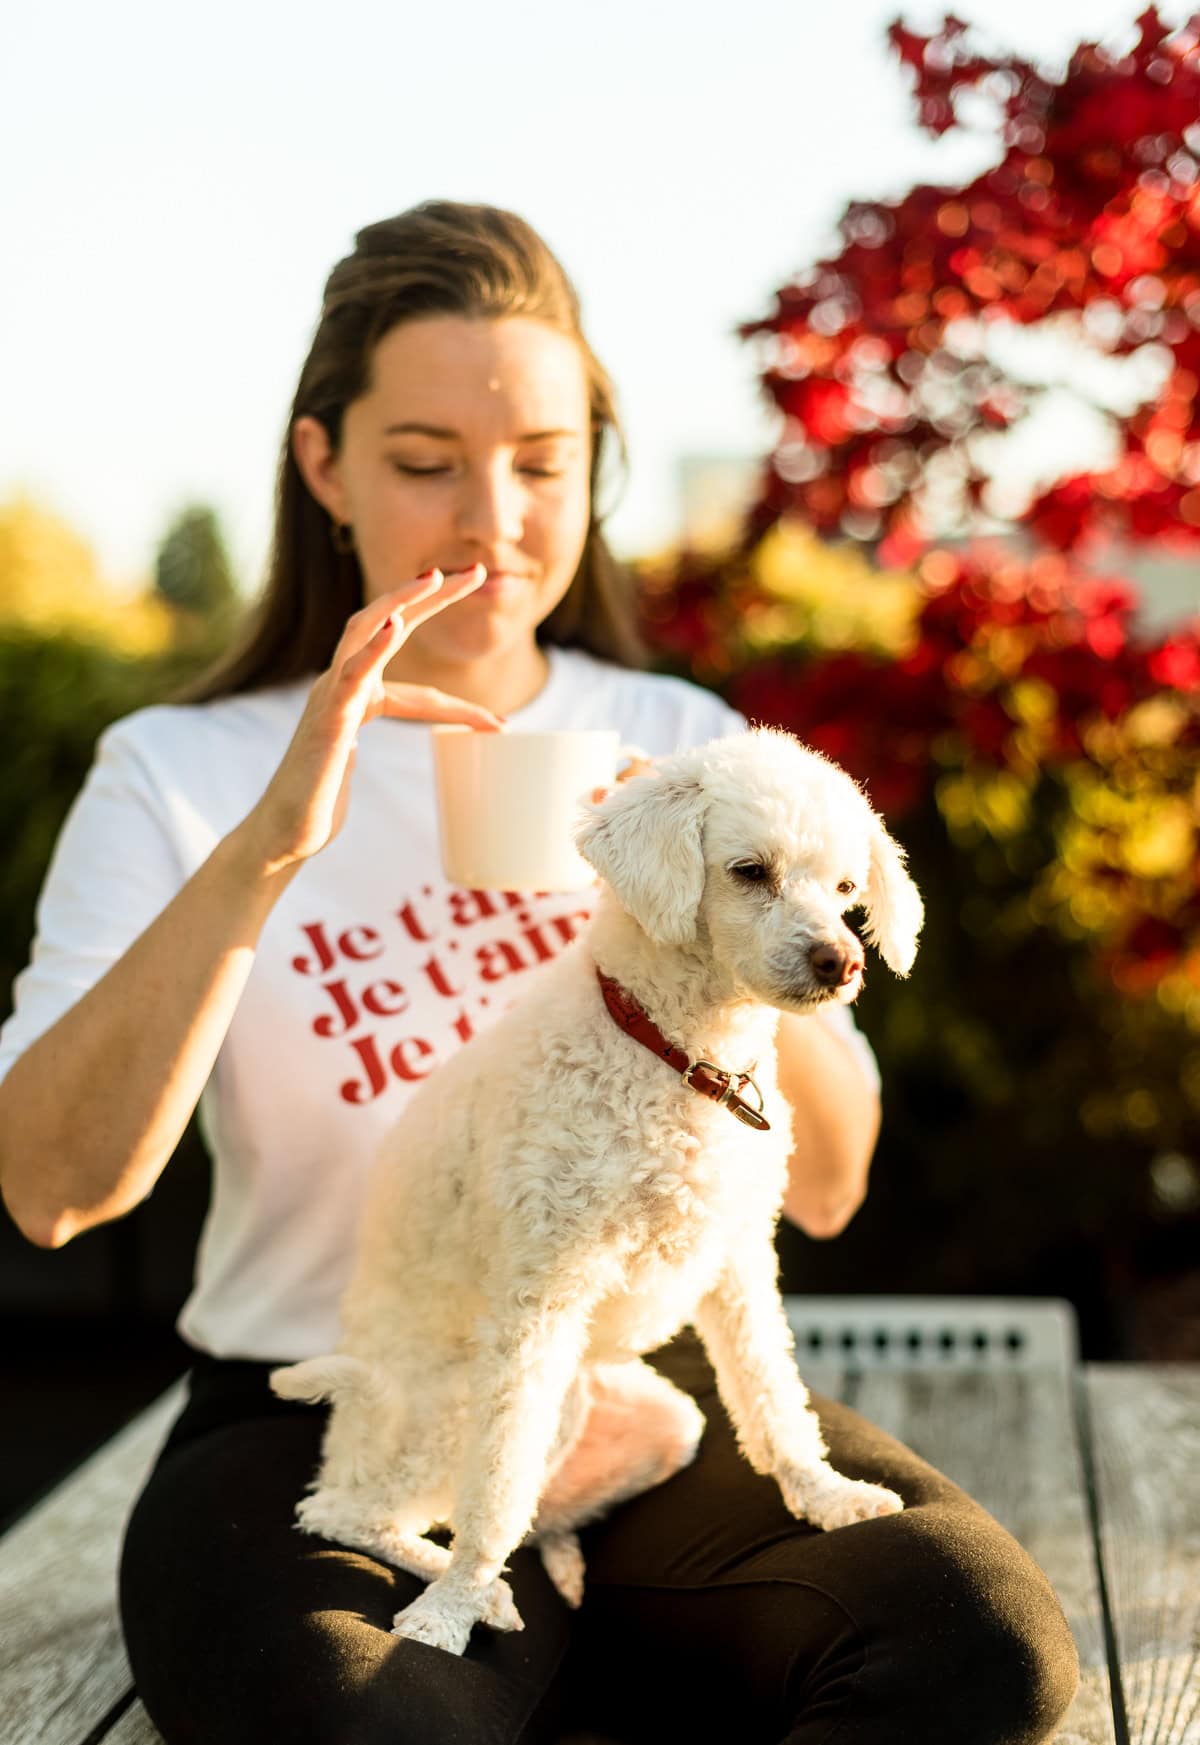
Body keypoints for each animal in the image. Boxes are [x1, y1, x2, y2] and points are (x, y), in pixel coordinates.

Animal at [273, 729, 927, 1654]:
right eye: (749, 870)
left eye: (844, 890)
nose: (840, 961)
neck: (676, 1058)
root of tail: (355, 1420)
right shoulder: (538, 1299)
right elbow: (495, 1482)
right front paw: (447, 1613)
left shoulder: (737, 1262)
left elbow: (773, 1393)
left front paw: (825, 1493)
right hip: (449, 1405)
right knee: (350, 1510)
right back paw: (467, 1587)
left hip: (655, 1416)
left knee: (531, 1512)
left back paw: (539, 1569)